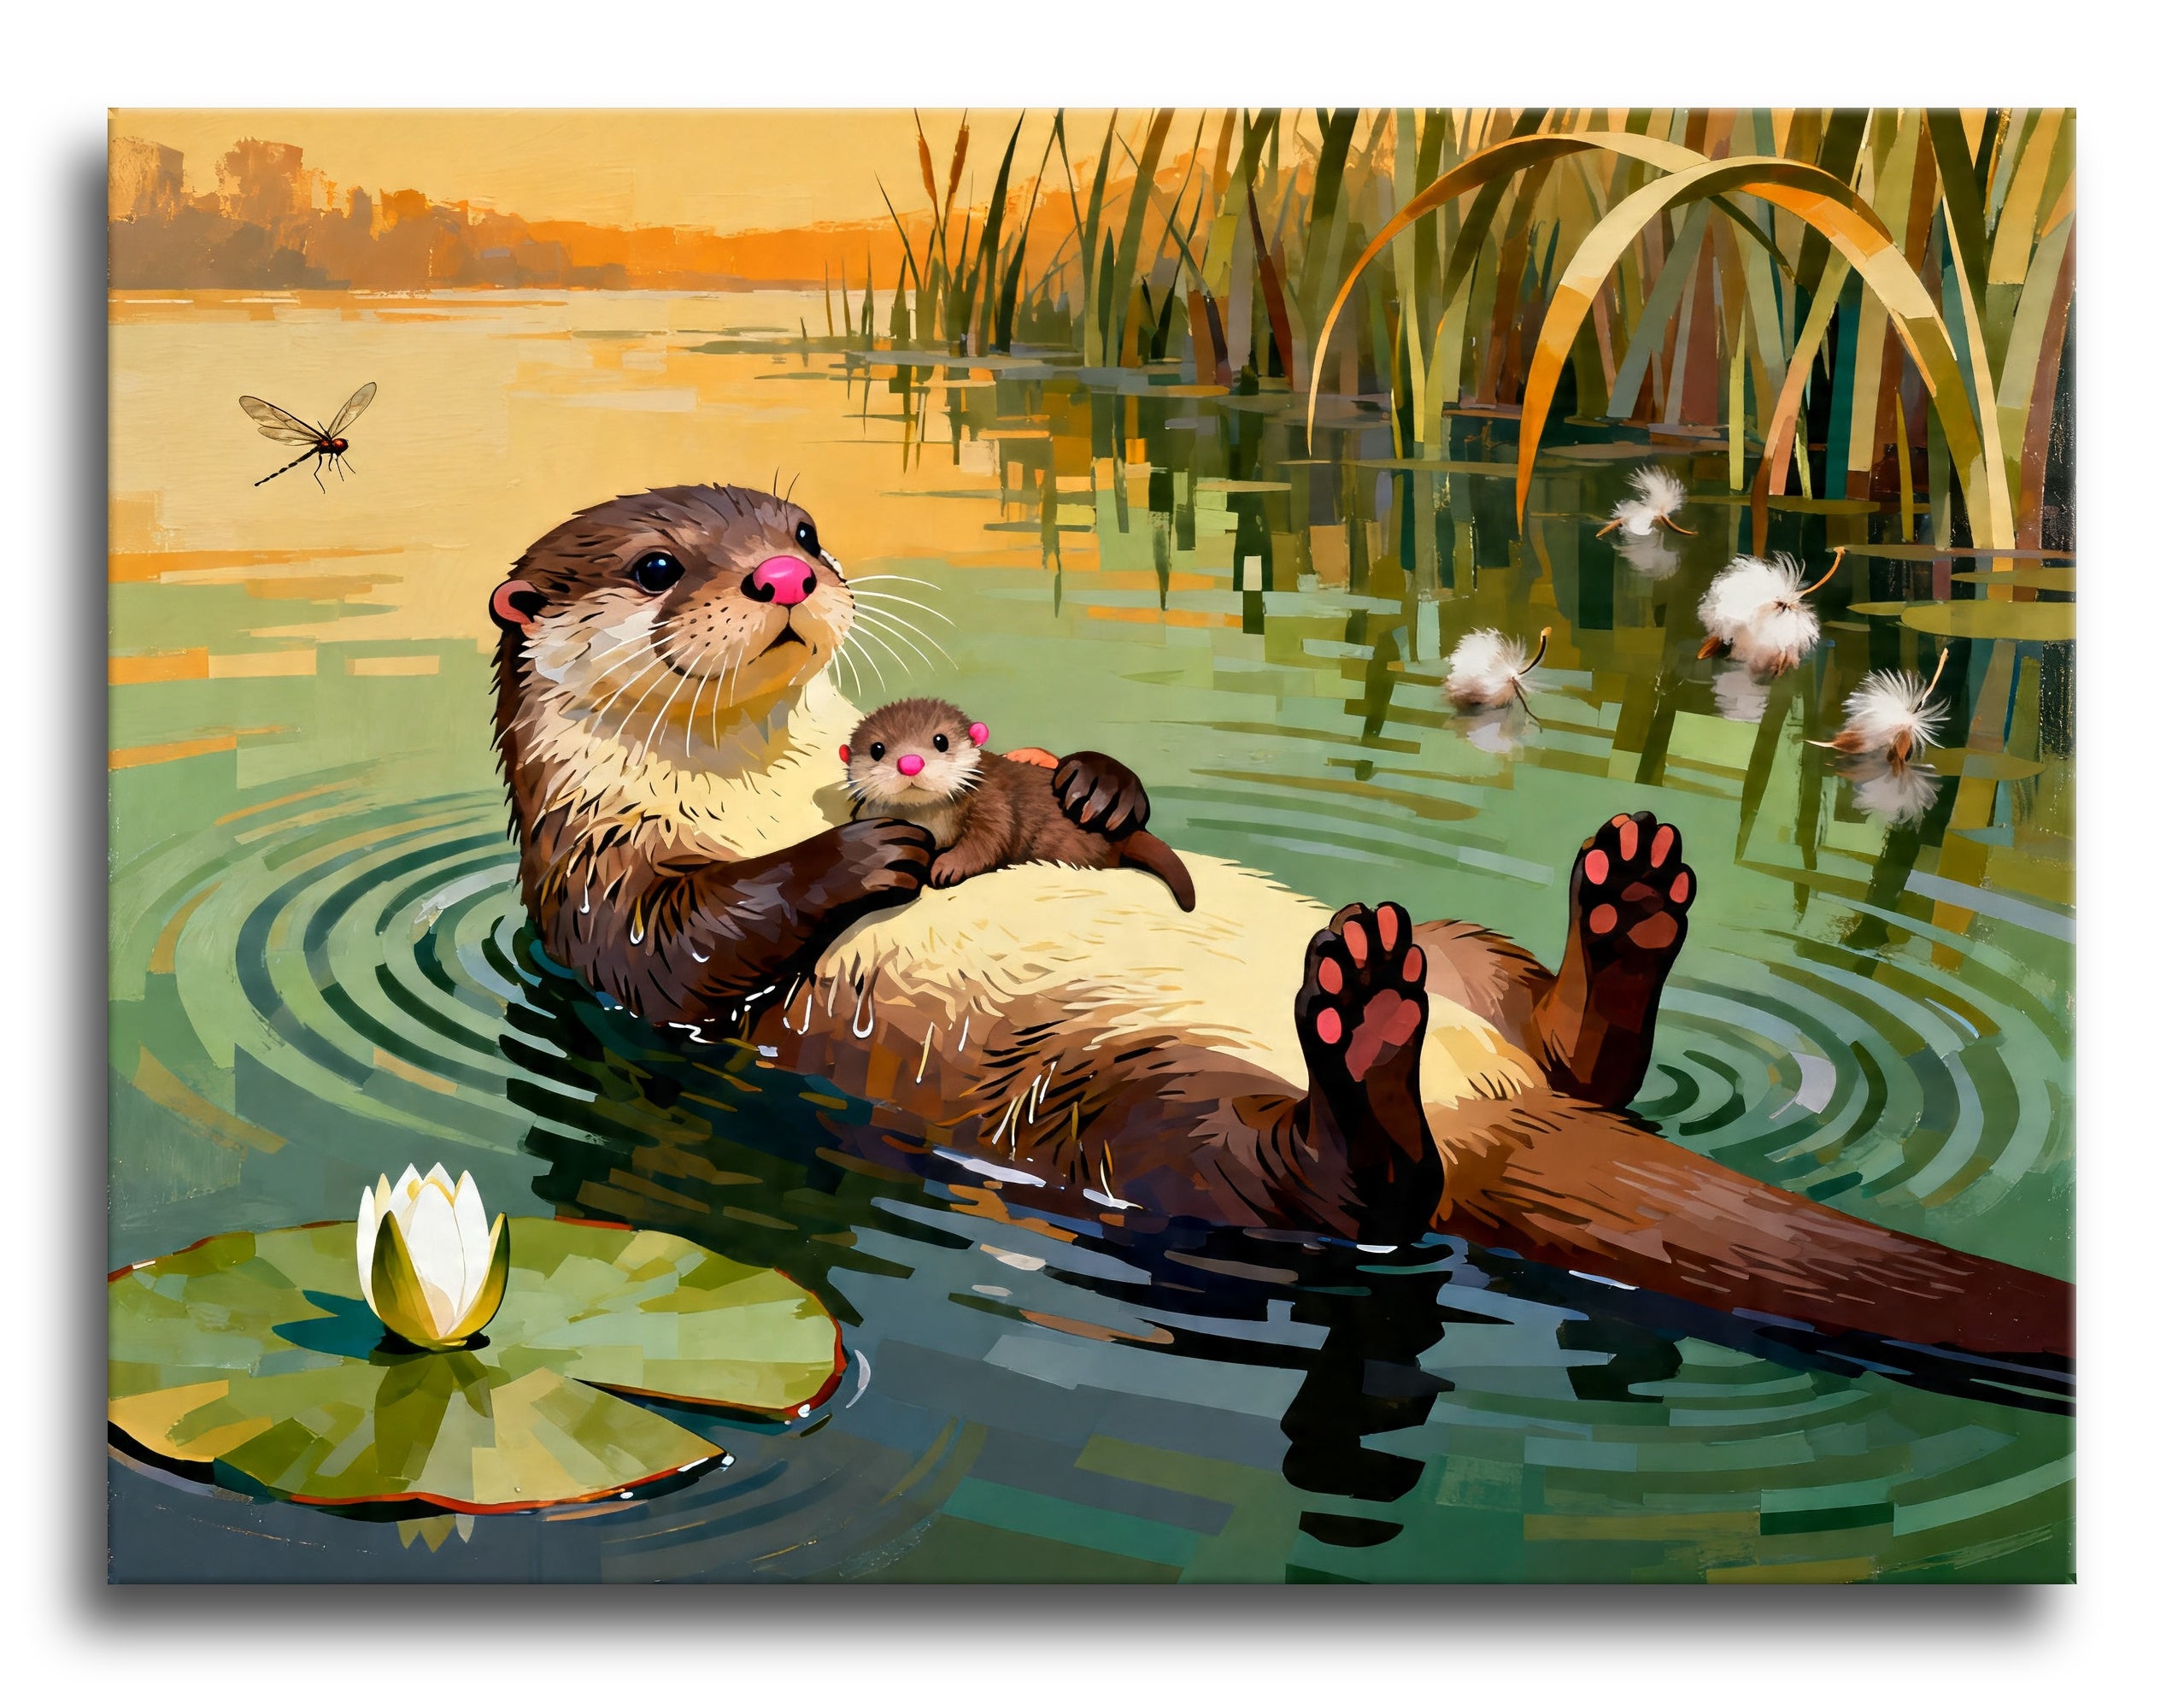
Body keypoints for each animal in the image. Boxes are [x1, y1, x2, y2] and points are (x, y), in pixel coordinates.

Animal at [842, 697, 1197, 911]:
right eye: (877, 749)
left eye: (940, 740)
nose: (910, 763)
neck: (933, 821)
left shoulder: (993, 799)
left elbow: (989, 839)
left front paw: (948, 866)